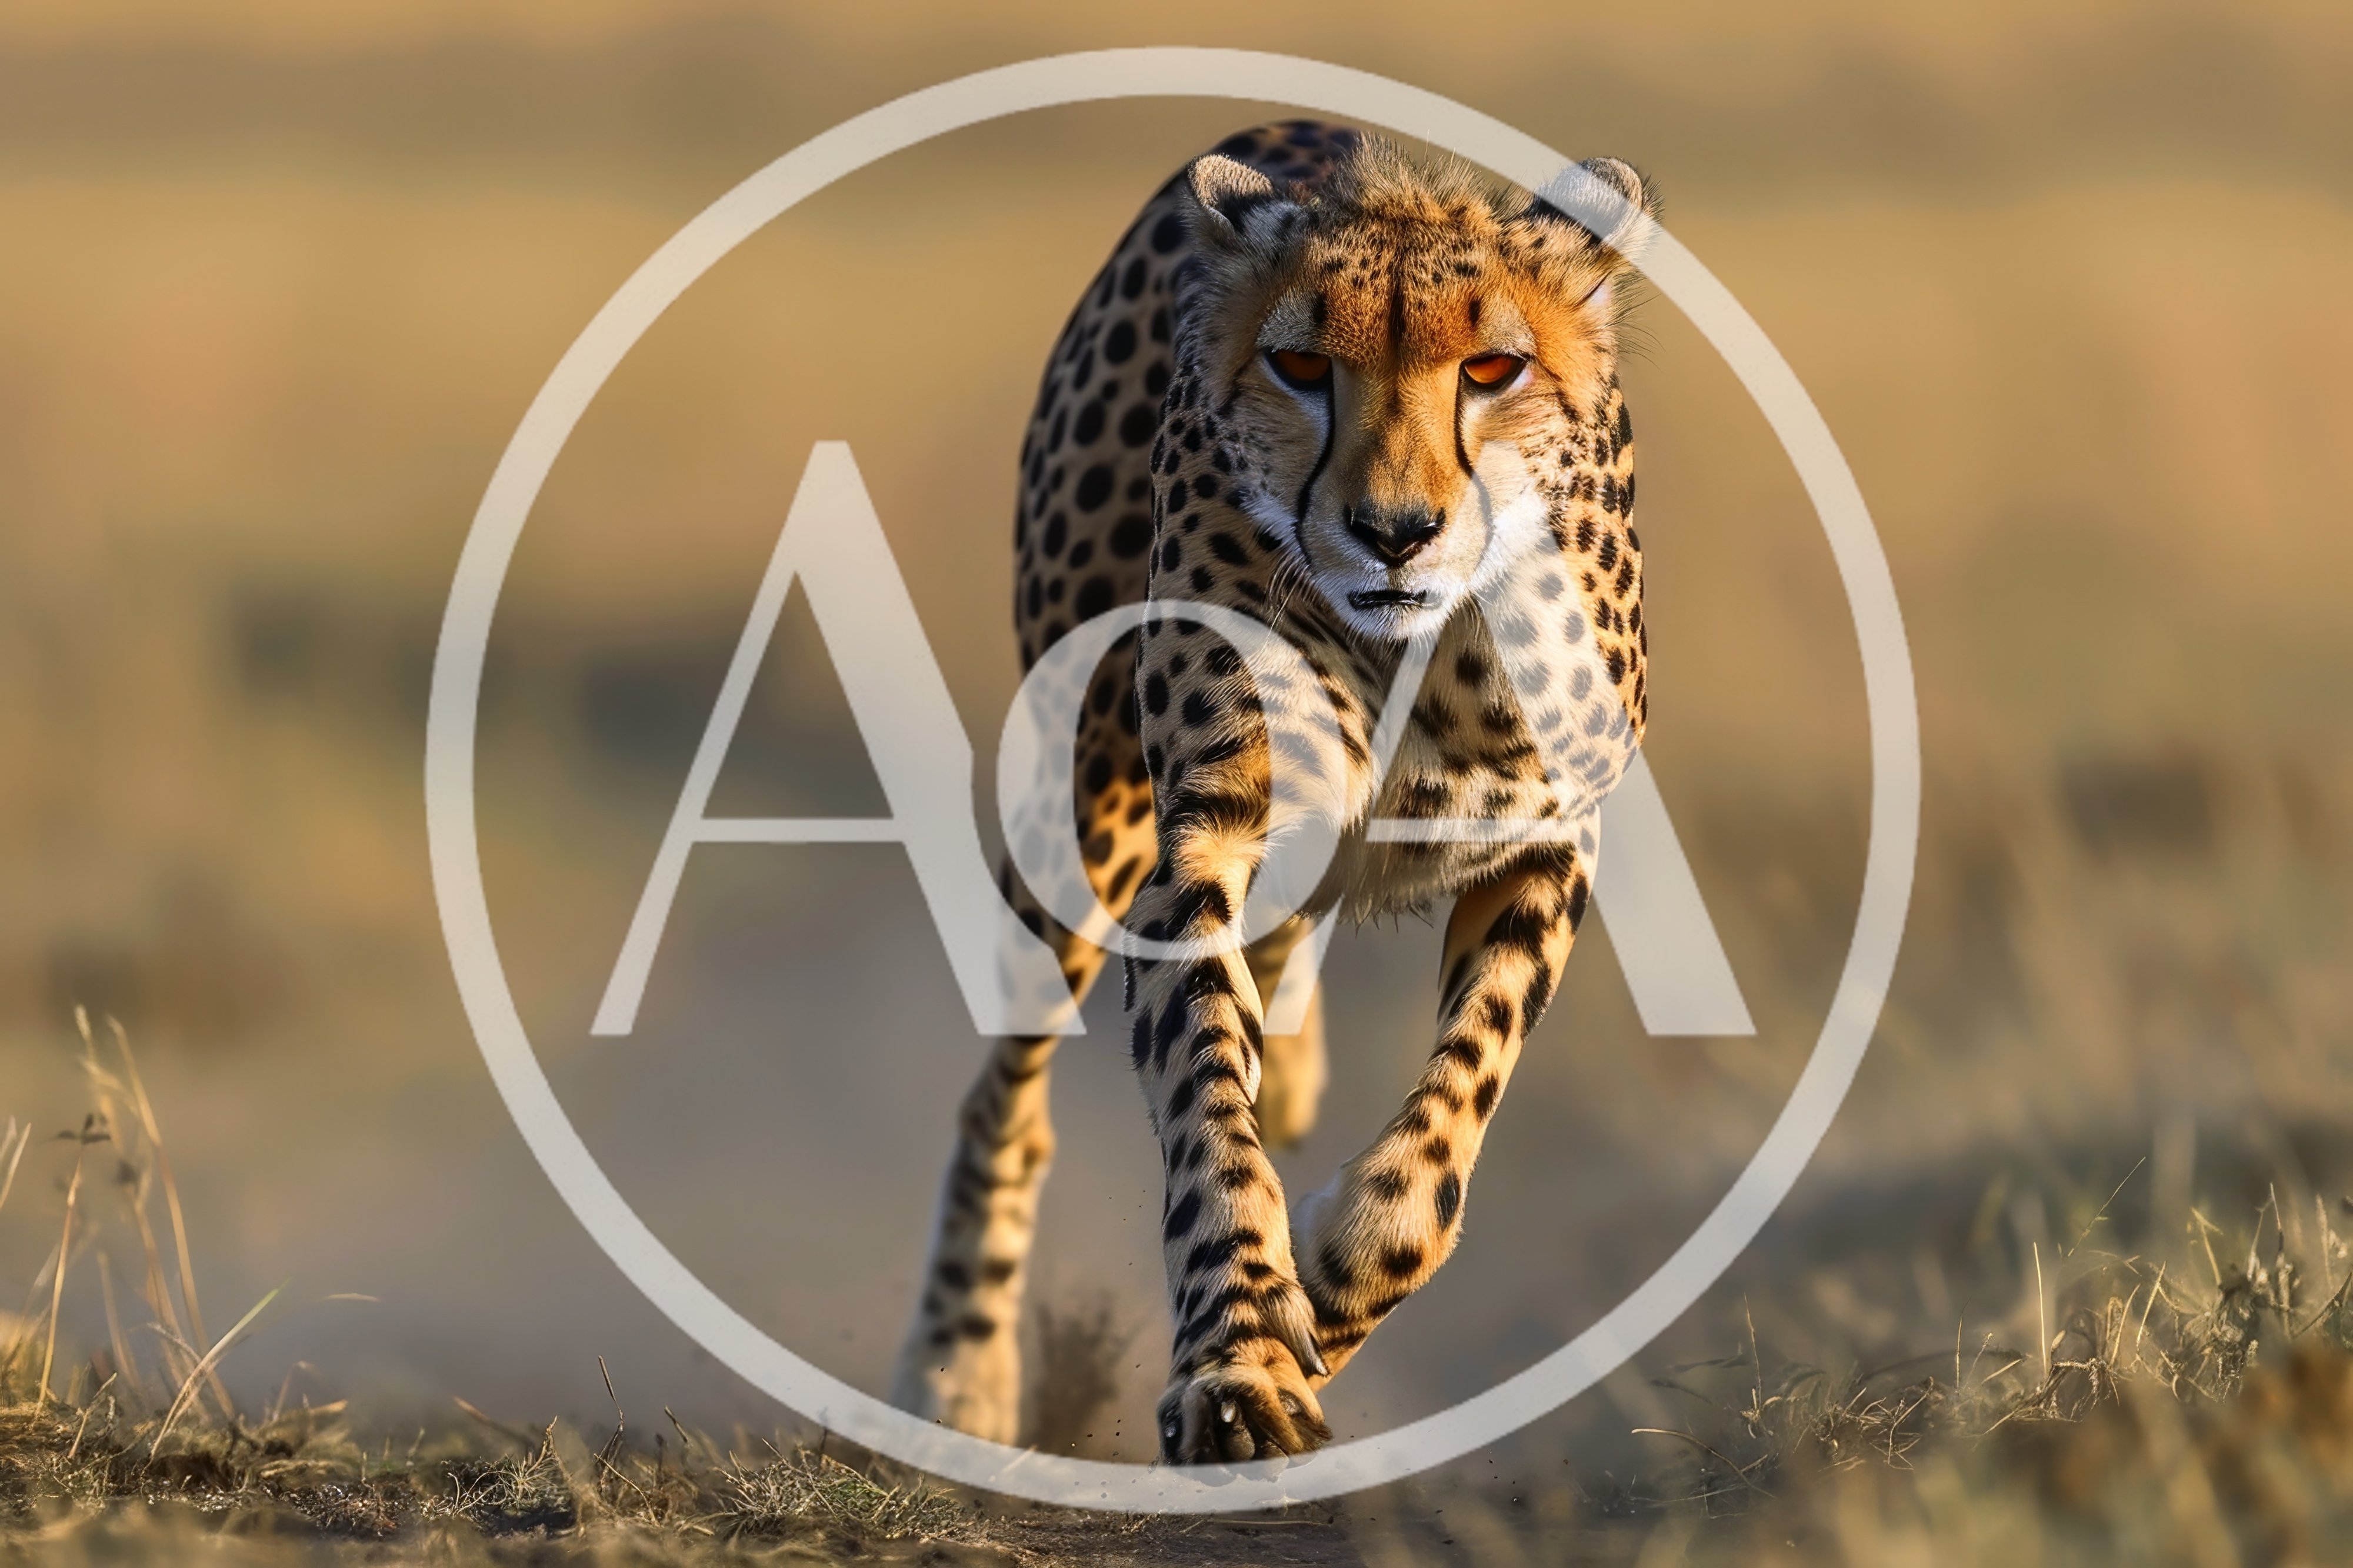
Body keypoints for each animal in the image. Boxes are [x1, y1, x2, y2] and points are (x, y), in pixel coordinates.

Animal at [890, 120, 1656, 1466]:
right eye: (1300, 365)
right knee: (1006, 1103)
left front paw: (1334, 1278)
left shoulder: (1546, 840)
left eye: (1493, 367)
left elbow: (1452, 1115)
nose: (1394, 530)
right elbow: (1205, 1100)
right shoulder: (1198, 839)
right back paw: (957, 1374)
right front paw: (1241, 1361)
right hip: (1087, 815)